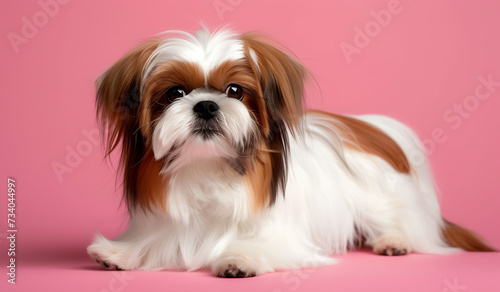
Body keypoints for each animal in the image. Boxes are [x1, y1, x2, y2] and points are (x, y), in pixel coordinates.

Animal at [88, 26, 494, 276]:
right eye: (174, 93)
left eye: (235, 90)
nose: (206, 105)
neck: (210, 168)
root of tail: (377, 129)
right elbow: (156, 242)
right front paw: (122, 254)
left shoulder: (282, 235)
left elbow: (261, 245)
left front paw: (239, 258)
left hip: (382, 199)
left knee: (406, 224)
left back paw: (394, 241)